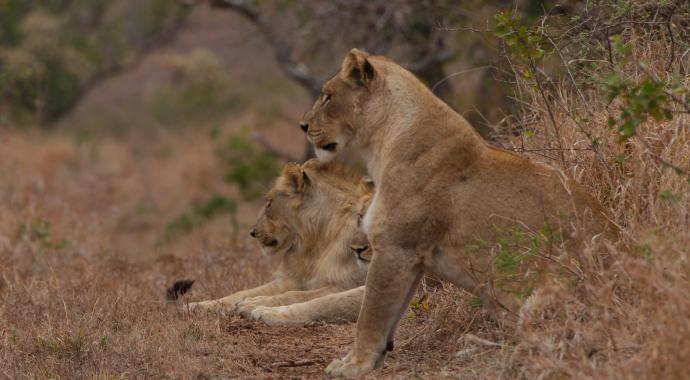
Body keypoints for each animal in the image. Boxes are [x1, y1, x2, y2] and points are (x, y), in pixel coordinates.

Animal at [187, 159, 370, 326]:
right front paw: (199, 305)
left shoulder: (347, 283)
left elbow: (298, 296)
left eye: (269, 204)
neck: (316, 241)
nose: (252, 232)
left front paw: (254, 304)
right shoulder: (294, 279)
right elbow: (243, 292)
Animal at [298, 48, 616, 378]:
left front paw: (354, 365)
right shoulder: (413, 259)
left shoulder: (396, 248)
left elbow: (370, 316)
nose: (303, 126)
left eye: (327, 96)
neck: (383, 141)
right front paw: (367, 361)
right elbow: (389, 319)